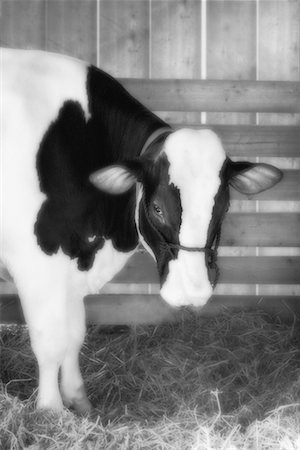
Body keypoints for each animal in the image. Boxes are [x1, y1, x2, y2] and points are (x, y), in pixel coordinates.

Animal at [0, 49, 282, 414]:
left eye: (224, 206)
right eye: (157, 207)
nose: (192, 290)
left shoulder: (73, 263)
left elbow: (74, 335)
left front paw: (79, 400)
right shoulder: (36, 264)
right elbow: (51, 342)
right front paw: (51, 411)